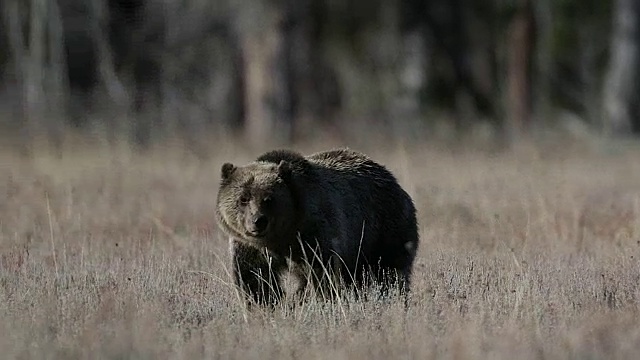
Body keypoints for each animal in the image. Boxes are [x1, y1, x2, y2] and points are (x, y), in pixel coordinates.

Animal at [215, 147, 420, 306]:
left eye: (269, 199)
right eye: (243, 198)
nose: (258, 221)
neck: (281, 238)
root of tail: (393, 180)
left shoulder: (314, 235)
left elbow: (323, 274)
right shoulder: (252, 248)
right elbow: (255, 278)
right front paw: (265, 306)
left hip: (382, 230)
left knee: (389, 272)